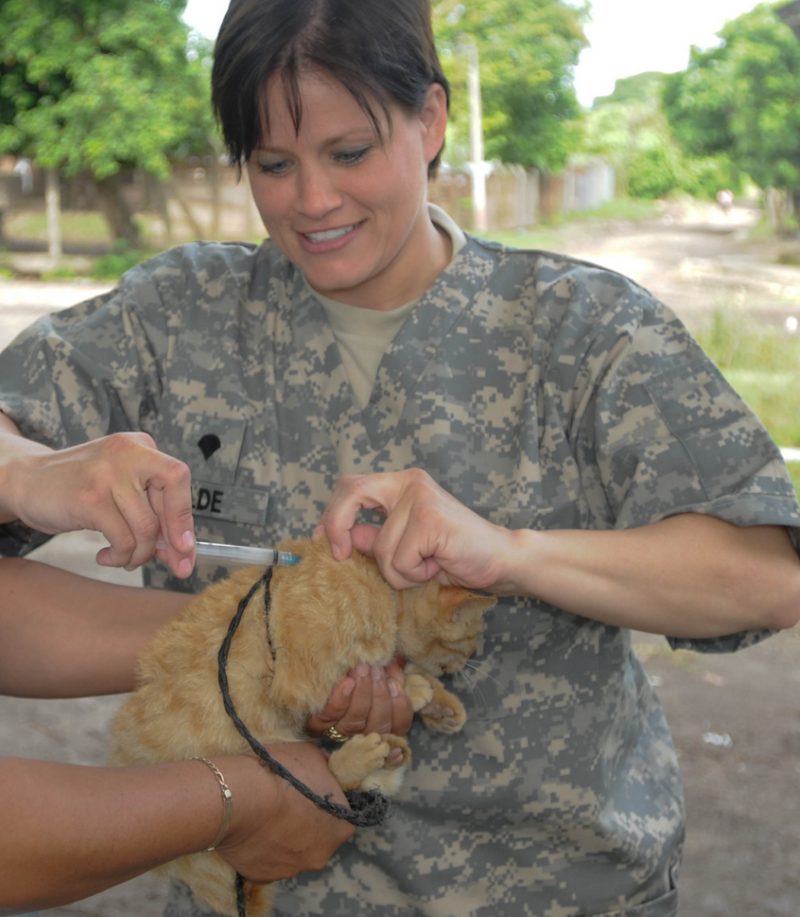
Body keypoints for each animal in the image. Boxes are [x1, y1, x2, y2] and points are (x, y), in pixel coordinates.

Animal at [106, 536, 494, 916]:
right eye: (472, 639)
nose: (472, 659)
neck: (378, 580)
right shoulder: (302, 682)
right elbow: (378, 673)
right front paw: (410, 689)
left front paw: (439, 703)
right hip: (266, 741)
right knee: (326, 781)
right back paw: (365, 756)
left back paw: (392, 756)